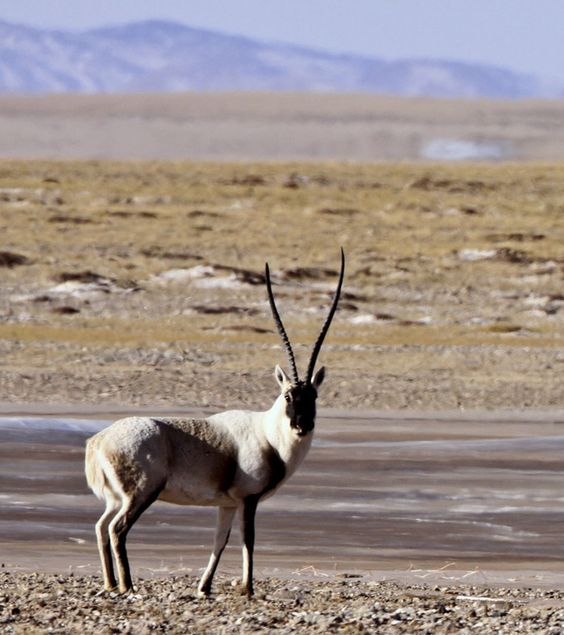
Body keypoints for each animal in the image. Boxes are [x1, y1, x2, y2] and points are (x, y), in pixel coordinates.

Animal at [83, 251, 344, 600]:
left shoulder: (228, 504)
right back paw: (127, 584)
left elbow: (220, 541)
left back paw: (111, 583)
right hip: (141, 494)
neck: (269, 435)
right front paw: (247, 588)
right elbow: (248, 539)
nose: (302, 426)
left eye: (313, 396)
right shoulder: (248, 500)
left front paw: (204, 586)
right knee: (117, 528)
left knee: (101, 526)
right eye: (288, 395)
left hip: (116, 498)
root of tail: (99, 441)